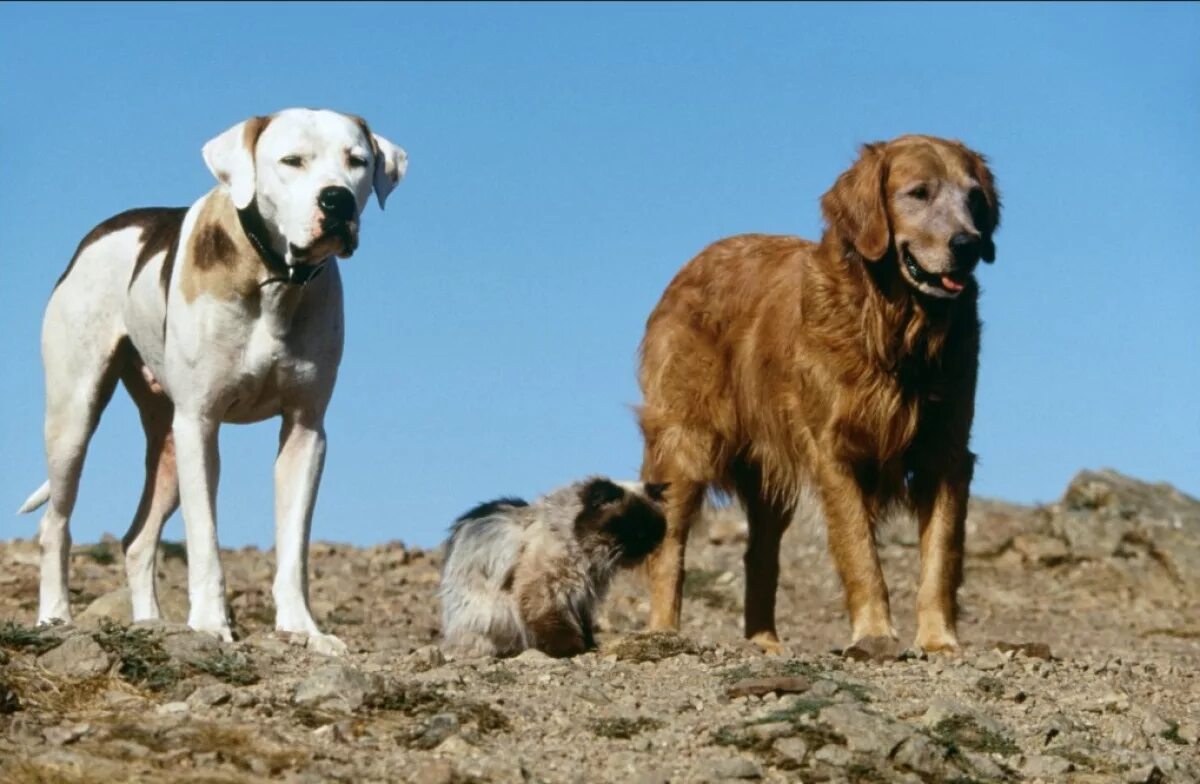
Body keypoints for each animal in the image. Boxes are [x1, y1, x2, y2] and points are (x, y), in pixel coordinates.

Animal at [18, 106, 408, 653]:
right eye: (292, 161)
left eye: (358, 161)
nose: (337, 199)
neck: (273, 278)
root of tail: (100, 233)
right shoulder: (201, 422)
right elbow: (205, 538)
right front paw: (209, 624)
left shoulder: (305, 430)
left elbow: (295, 545)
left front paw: (303, 629)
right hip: (74, 417)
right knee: (56, 522)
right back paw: (54, 615)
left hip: (167, 444)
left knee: (138, 540)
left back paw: (149, 622)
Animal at [643, 134, 998, 653]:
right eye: (918, 193)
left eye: (974, 197)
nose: (968, 244)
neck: (893, 326)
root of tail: (691, 265)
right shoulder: (834, 451)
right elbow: (860, 551)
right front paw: (874, 634)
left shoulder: (946, 452)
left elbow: (941, 553)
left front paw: (938, 639)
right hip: (686, 444)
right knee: (670, 544)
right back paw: (663, 632)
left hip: (767, 476)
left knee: (760, 555)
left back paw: (764, 642)